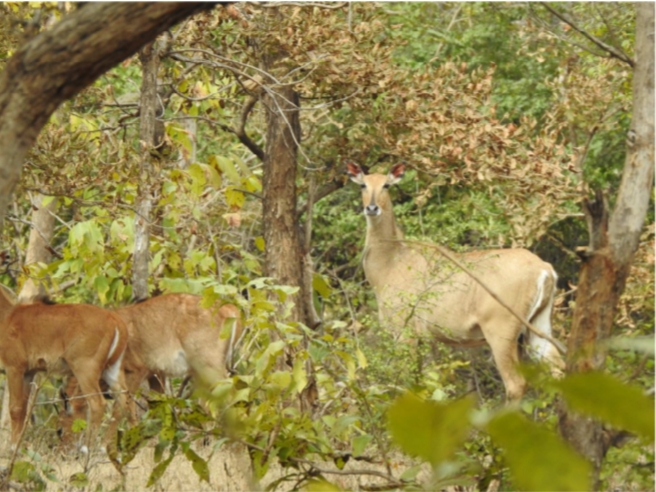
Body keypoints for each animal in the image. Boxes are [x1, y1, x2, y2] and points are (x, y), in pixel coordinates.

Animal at [0, 286, 129, 452]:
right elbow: (23, 409)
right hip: (112, 369)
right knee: (123, 402)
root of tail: (115, 321)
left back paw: (87, 449)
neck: (7, 315)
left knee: (97, 403)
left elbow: (15, 409)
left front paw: (13, 449)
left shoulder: (14, 367)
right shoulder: (29, 372)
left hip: (85, 368)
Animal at [348, 161, 564, 400]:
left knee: (516, 383)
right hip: (539, 322)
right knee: (559, 370)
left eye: (386, 185)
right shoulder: (428, 337)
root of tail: (545, 270)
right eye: (363, 185)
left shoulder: (404, 331)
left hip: (502, 327)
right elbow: (430, 383)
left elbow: (407, 383)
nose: (372, 208)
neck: (390, 265)